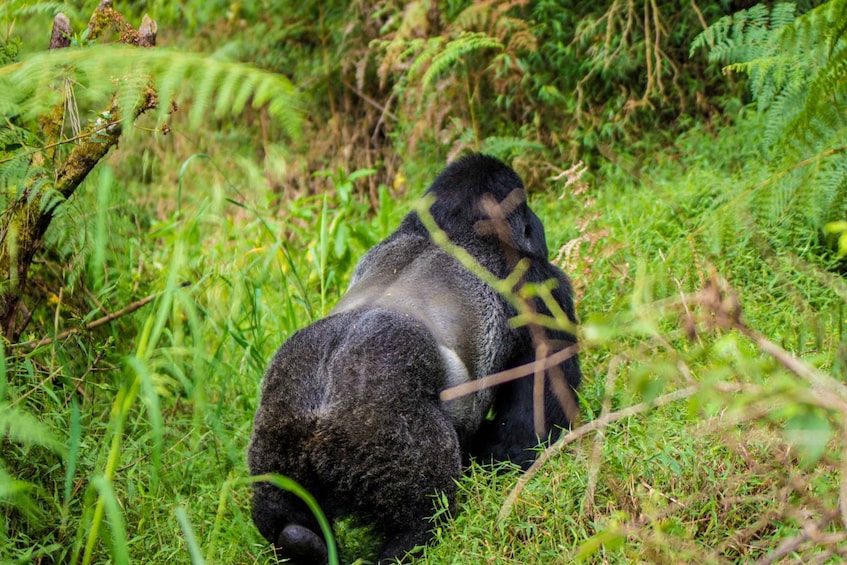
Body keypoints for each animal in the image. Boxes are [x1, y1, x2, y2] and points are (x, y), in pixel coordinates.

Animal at [247, 152, 584, 560]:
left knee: (279, 511)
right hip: (383, 438)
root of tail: (317, 413)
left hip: (275, 442)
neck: (452, 226)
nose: (539, 226)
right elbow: (527, 427)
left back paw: (299, 541)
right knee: (424, 514)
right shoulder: (538, 282)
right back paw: (405, 543)